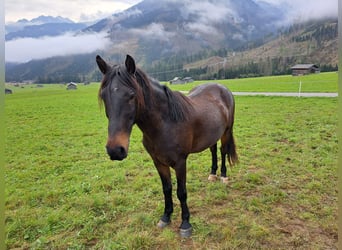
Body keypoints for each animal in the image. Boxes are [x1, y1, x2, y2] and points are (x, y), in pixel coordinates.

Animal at [95, 53, 238, 237]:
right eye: (104, 96)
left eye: (132, 95)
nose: (115, 150)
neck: (165, 123)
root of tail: (221, 87)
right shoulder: (159, 162)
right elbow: (167, 189)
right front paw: (166, 217)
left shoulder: (180, 162)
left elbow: (181, 192)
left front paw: (185, 224)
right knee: (213, 150)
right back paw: (212, 174)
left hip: (227, 131)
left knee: (223, 150)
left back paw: (223, 176)